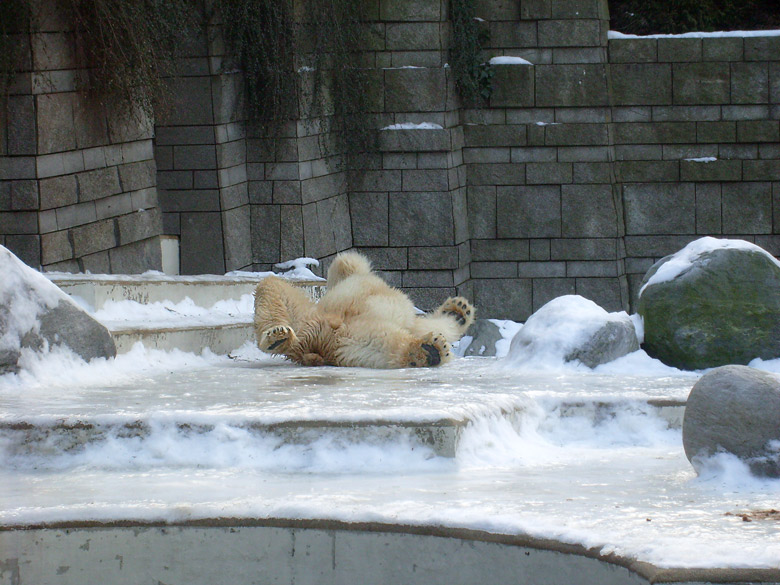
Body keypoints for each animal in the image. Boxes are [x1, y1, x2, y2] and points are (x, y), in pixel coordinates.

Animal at [256, 251, 476, 370]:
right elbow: (346, 260)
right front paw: (457, 311)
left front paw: (457, 312)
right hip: (317, 322)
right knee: (270, 286)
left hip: (342, 339)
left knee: (380, 344)